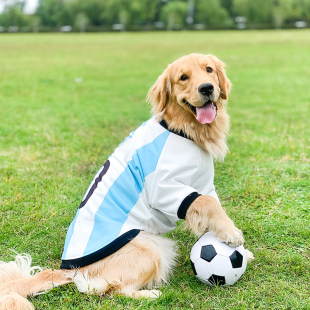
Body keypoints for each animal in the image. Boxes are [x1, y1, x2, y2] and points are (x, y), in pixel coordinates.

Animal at [0, 54, 252, 308]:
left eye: (209, 70)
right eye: (183, 77)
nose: (207, 88)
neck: (183, 129)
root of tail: (70, 269)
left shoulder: (203, 184)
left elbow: (211, 210)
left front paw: (236, 245)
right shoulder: (166, 189)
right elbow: (207, 204)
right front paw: (233, 234)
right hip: (150, 247)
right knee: (112, 289)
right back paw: (151, 295)